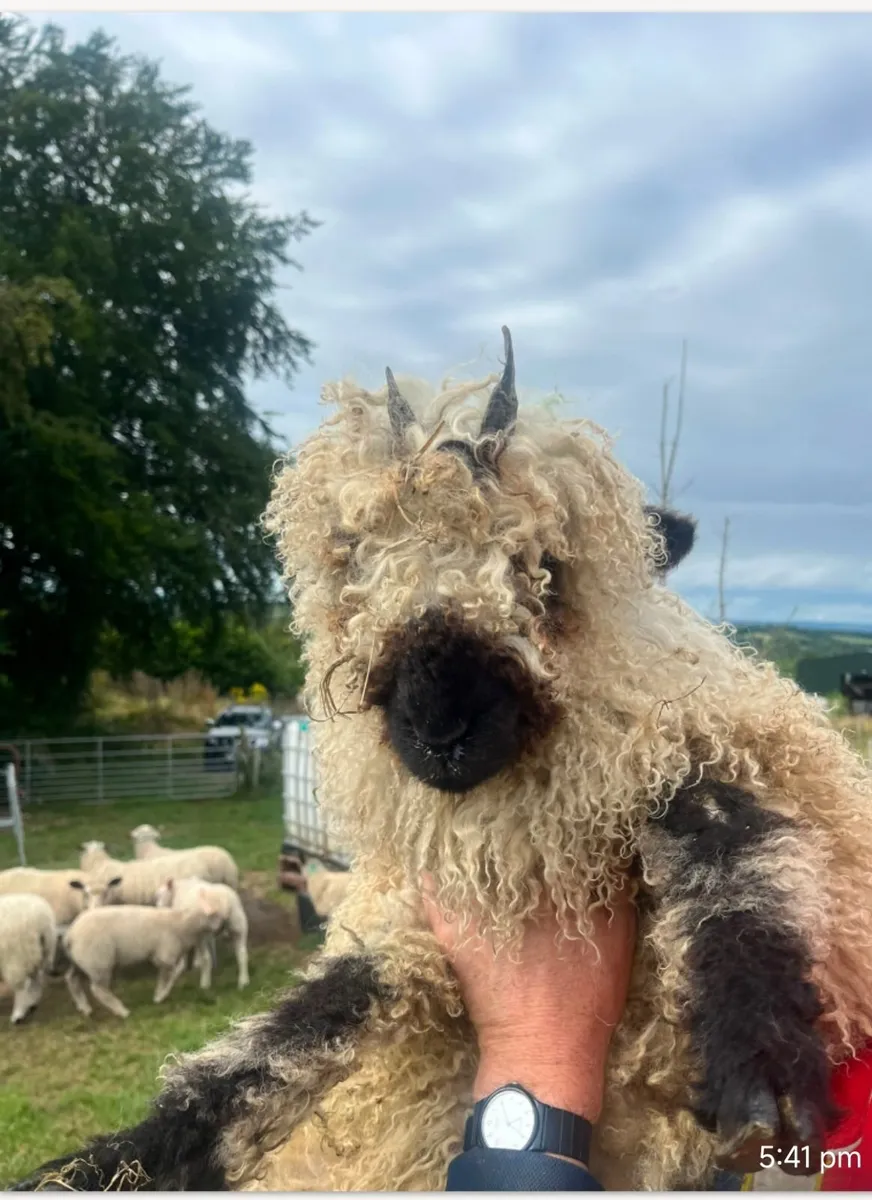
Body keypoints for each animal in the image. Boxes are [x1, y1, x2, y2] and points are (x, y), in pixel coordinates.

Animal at [0, 893, 57, 1025]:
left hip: (15, 956)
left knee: (21, 986)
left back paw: (18, 1015)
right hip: (40, 951)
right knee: (36, 977)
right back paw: (33, 1004)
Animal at [62, 894, 225, 1020]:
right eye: (215, 914)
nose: (222, 927)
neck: (183, 923)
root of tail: (71, 935)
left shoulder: (168, 956)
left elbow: (173, 973)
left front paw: (161, 994)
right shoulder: (164, 956)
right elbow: (167, 976)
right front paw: (160, 996)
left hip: (80, 962)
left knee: (71, 979)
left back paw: (84, 1007)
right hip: (99, 962)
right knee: (99, 990)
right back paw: (122, 1011)